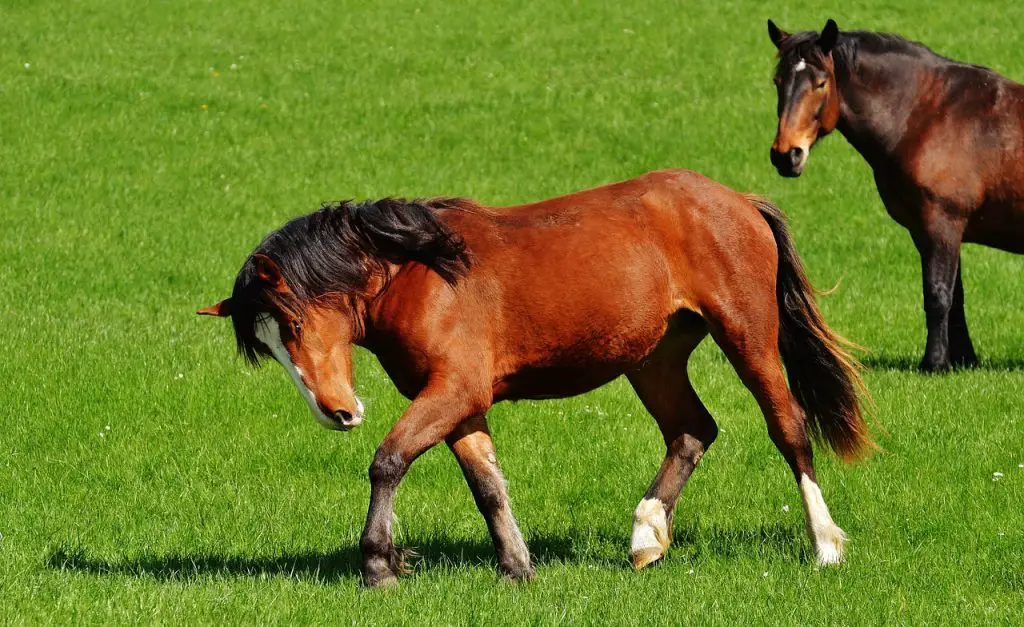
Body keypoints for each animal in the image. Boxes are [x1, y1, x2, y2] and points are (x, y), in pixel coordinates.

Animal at [199, 169, 872, 586]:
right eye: (267, 347)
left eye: (292, 323)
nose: (338, 412)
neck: (421, 272)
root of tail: (736, 199)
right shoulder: (461, 405)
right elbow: (488, 487)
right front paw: (517, 567)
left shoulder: (452, 392)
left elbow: (387, 461)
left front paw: (378, 565)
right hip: (653, 359)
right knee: (691, 431)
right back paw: (647, 536)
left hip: (747, 336)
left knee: (788, 428)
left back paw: (826, 545)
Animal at [765, 19, 1024, 372]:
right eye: (778, 81)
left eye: (820, 83)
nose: (786, 155)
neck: (929, 114)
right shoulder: (930, 231)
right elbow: (956, 298)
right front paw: (963, 360)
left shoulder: (941, 225)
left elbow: (938, 294)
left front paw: (934, 363)